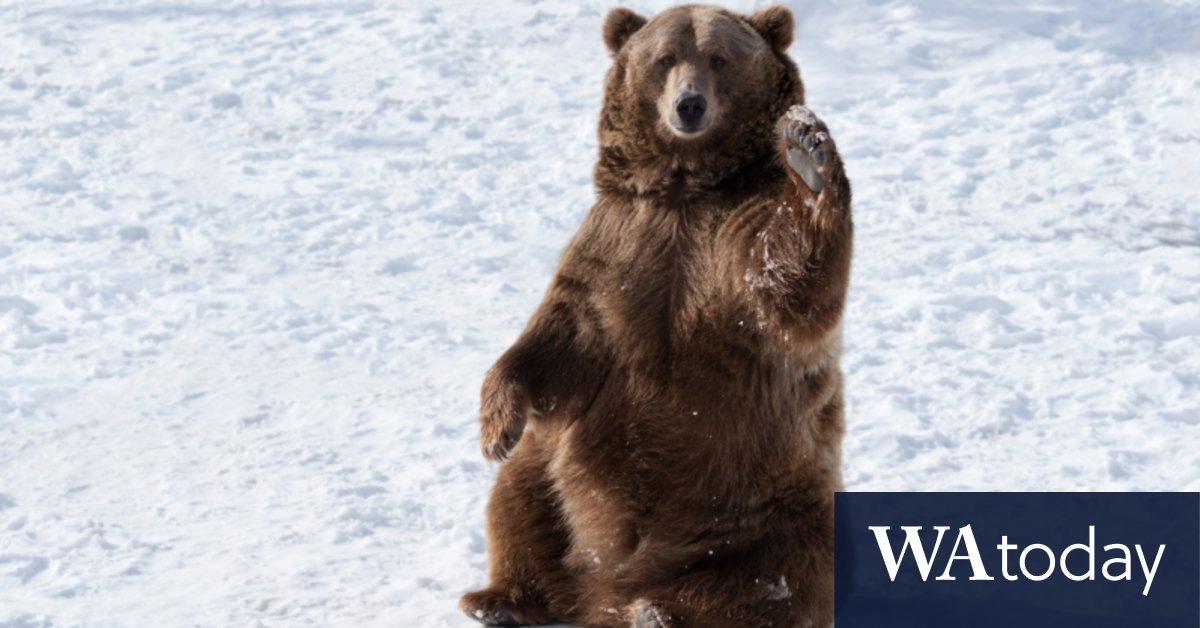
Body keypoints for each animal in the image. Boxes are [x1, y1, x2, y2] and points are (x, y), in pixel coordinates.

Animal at [460, 4, 852, 627]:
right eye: (665, 57)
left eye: (719, 57)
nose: (689, 104)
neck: (684, 187)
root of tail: (605, 589)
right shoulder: (618, 242)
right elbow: (560, 335)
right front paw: (496, 426)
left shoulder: (729, 240)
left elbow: (788, 285)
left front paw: (807, 155)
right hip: (554, 473)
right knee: (520, 500)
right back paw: (501, 599)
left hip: (770, 503)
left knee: (781, 575)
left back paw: (660, 611)